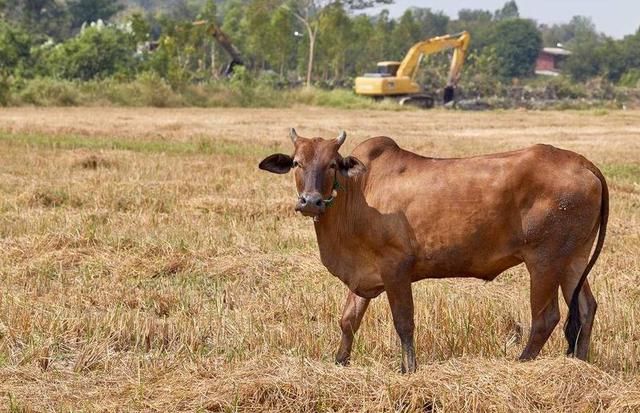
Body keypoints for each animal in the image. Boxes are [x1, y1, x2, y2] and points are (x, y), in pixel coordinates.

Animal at [258, 127, 608, 372]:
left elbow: (404, 322)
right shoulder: (365, 275)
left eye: (332, 164)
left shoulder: (395, 268)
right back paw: (582, 364)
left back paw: (521, 364)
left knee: (546, 318)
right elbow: (348, 321)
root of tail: (583, 162)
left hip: (544, 261)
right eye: (297, 163)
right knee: (586, 309)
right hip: (574, 260)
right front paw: (339, 362)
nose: (311, 201)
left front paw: (408, 370)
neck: (358, 194)